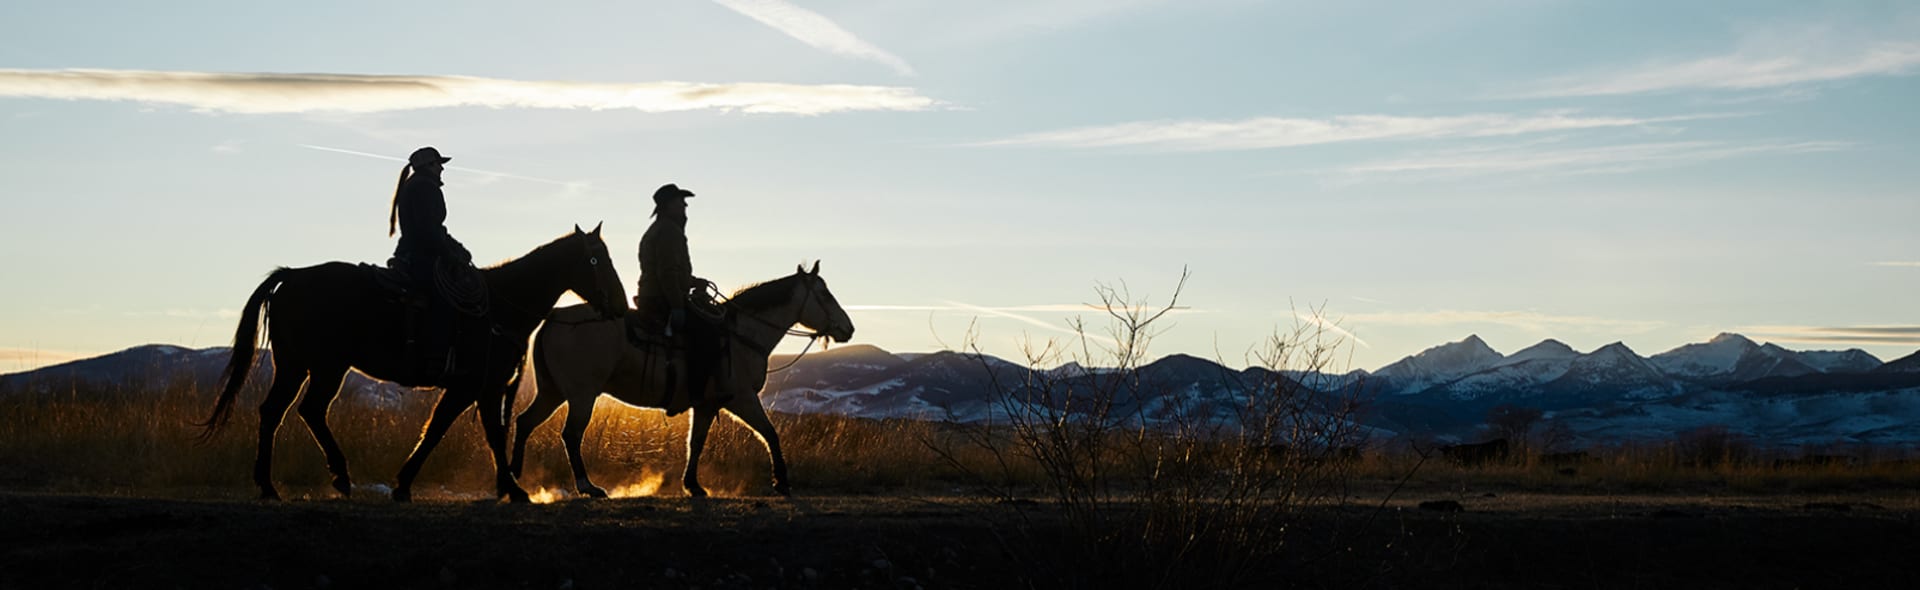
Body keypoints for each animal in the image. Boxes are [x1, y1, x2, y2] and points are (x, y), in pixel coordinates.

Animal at [199, 223, 625, 503]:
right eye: (596, 259)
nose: (620, 307)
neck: (499, 306)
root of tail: (291, 277)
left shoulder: (474, 389)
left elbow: (452, 429)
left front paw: (408, 484)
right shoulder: (480, 387)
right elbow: (468, 432)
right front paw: (513, 488)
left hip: (300, 366)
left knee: (282, 411)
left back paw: (282, 483)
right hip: (322, 366)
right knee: (301, 410)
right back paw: (318, 478)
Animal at [506, 263, 852, 499]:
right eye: (824, 293)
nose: (848, 328)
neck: (740, 336)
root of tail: (555, 317)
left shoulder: (707, 405)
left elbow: (695, 442)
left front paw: (693, 485)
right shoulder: (742, 399)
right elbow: (770, 433)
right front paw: (782, 481)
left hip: (552, 391)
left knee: (525, 422)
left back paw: (514, 477)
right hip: (582, 394)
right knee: (571, 434)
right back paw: (587, 486)